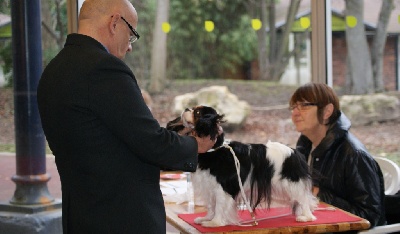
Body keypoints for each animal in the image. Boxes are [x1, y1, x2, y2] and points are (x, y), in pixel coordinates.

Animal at [166, 105, 318, 227]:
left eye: (197, 112)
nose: (186, 108)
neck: (214, 149)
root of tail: (295, 152)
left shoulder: (223, 187)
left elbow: (219, 205)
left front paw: (215, 222)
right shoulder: (210, 186)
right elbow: (211, 205)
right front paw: (207, 218)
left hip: (290, 183)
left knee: (303, 199)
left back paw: (306, 217)